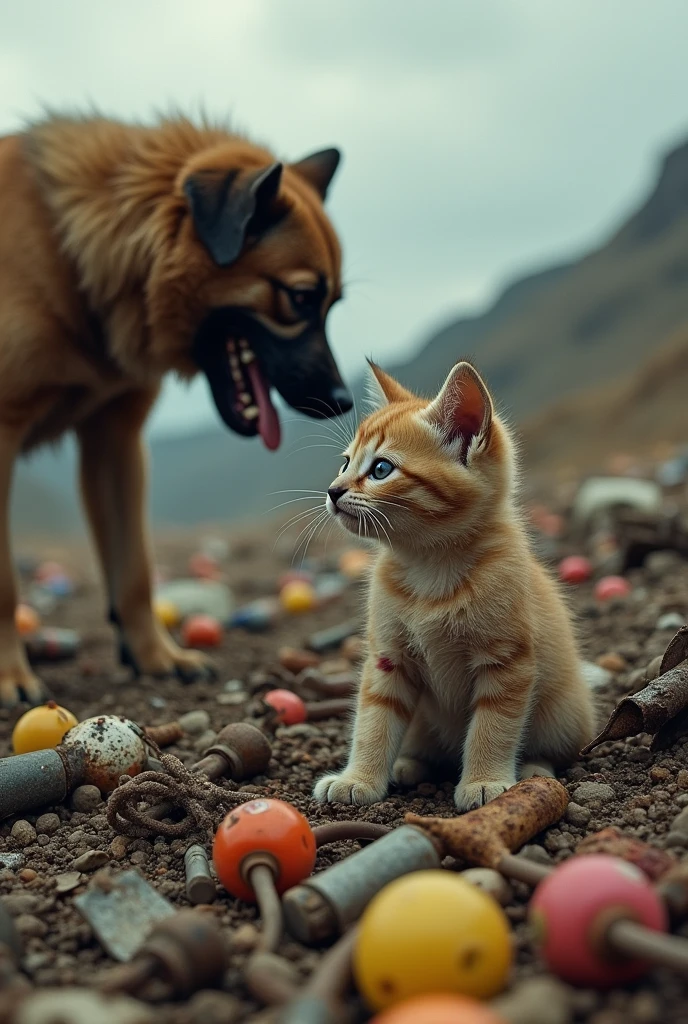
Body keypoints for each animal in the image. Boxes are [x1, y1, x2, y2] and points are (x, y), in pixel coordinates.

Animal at [0, 110, 350, 704]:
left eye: (334, 304)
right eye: (301, 297)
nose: (345, 400)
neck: (69, 252)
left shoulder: (115, 441)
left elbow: (135, 569)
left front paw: (156, 657)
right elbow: (3, 581)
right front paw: (9, 674)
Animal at [313, 360, 597, 806]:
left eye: (381, 469)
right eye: (344, 464)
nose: (333, 490)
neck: (430, 567)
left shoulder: (507, 661)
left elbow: (492, 727)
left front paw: (484, 781)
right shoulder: (387, 658)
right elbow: (374, 720)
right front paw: (358, 778)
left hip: (563, 712)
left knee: (554, 747)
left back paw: (532, 768)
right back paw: (409, 764)